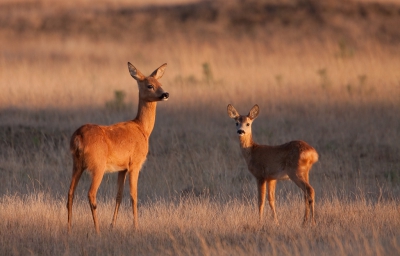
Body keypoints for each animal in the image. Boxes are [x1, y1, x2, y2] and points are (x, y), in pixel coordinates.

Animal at [68, 63, 168, 233]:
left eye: (160, 83)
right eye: (150, 85)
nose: (165, 94)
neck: (142, 129)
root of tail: (78, 137)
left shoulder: (122, 168)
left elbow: (119, 195)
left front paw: (112, 225)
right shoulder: (135, 164)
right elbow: (134, 195)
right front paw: (136, 227)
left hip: (77, 164)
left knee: (70, 193)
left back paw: (68, 229)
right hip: (98, 166)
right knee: (91, 194)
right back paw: (97, 231)